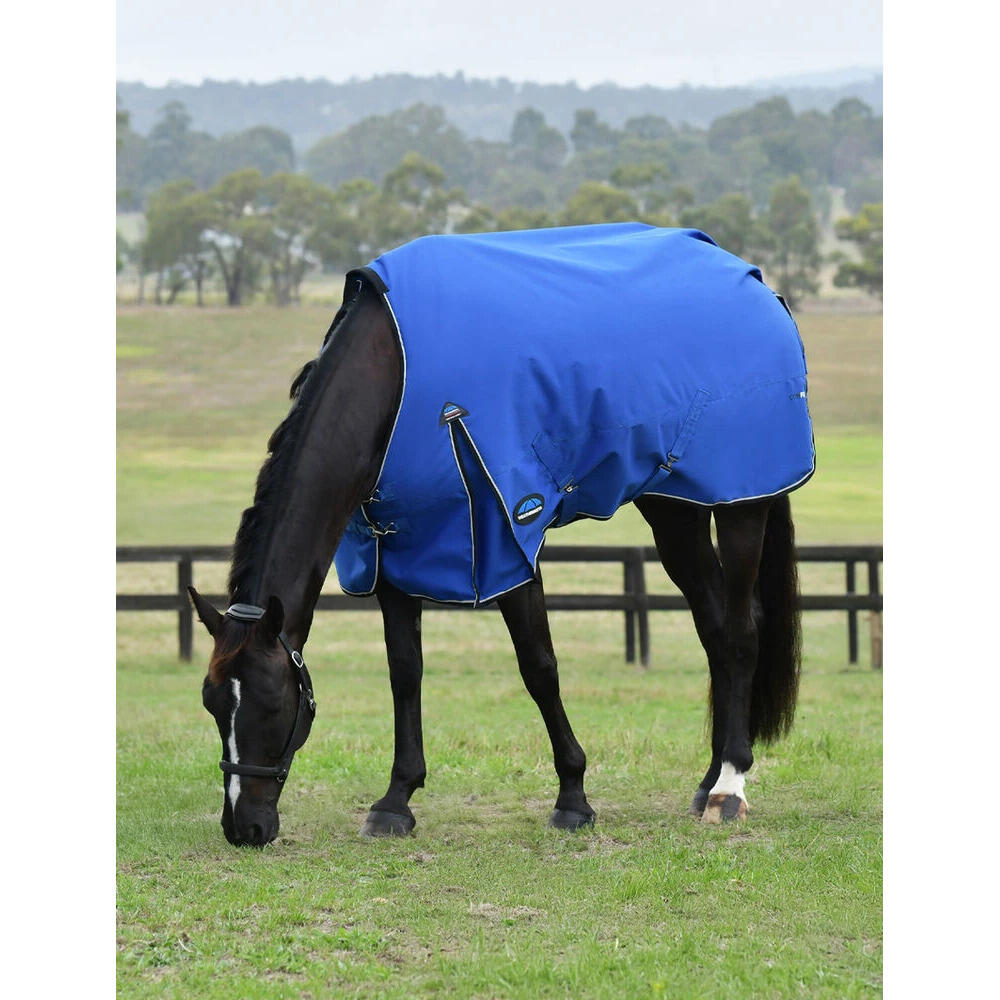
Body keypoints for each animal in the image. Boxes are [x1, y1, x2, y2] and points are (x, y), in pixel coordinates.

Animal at [189, 224, 814, 847]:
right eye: (213, 705)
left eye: (272, 704)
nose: (244, 827)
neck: (395, 379)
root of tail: (759, 286)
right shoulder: (392, 547)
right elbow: (405, 671)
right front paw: (396, 800)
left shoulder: (507, 537)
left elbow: (538, 667)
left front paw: (573, 798)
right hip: (676, 509)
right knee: (713, 630)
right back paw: (707, 783)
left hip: (740, 505)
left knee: (740, 632)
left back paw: (730, 787)